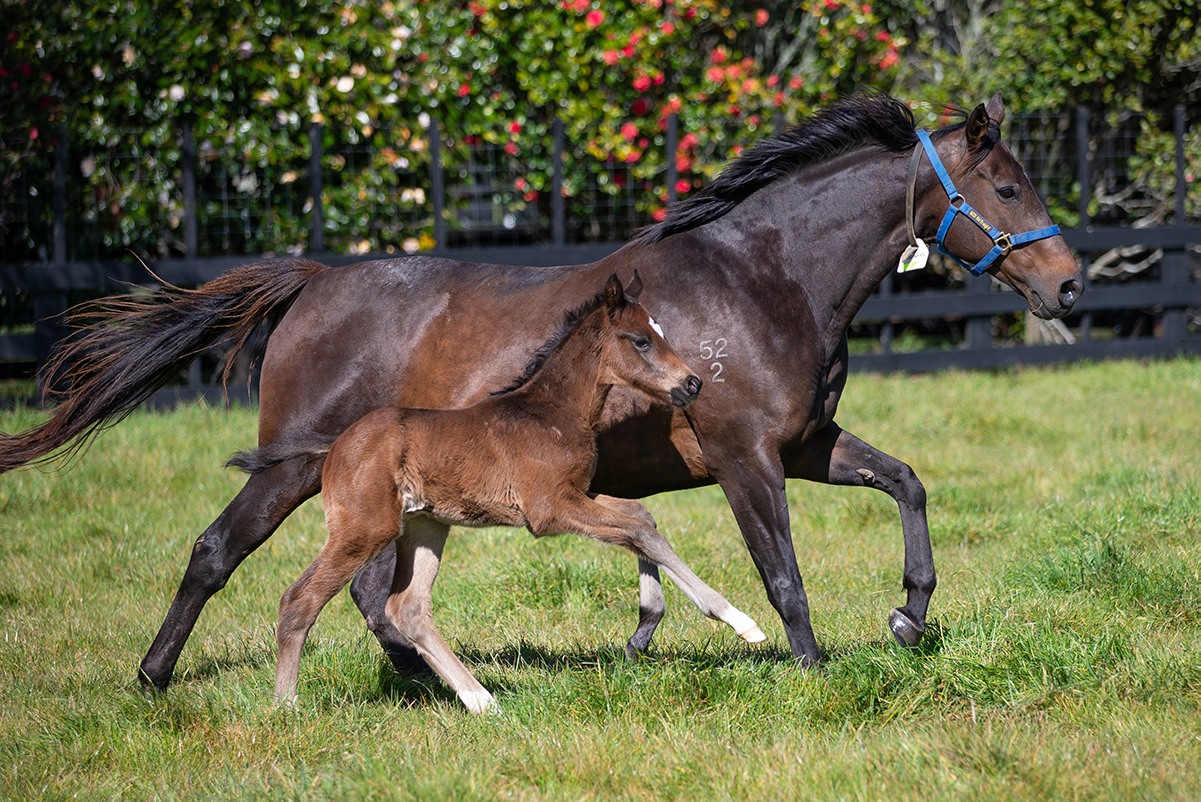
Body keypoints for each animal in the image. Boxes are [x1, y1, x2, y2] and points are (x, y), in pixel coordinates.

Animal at [258, 276, 763, 715]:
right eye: (640, 340)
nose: (693, 383)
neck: (552, 413)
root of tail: (335, 447)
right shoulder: (548, 509)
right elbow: (640, 530)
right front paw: (739, 620)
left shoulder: (575, 494)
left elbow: (641, 519)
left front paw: (649, 620)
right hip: (366, 527)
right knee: (300, 599)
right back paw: (285, 706)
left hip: (425, 525)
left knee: (409, 608)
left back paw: (482, 702)